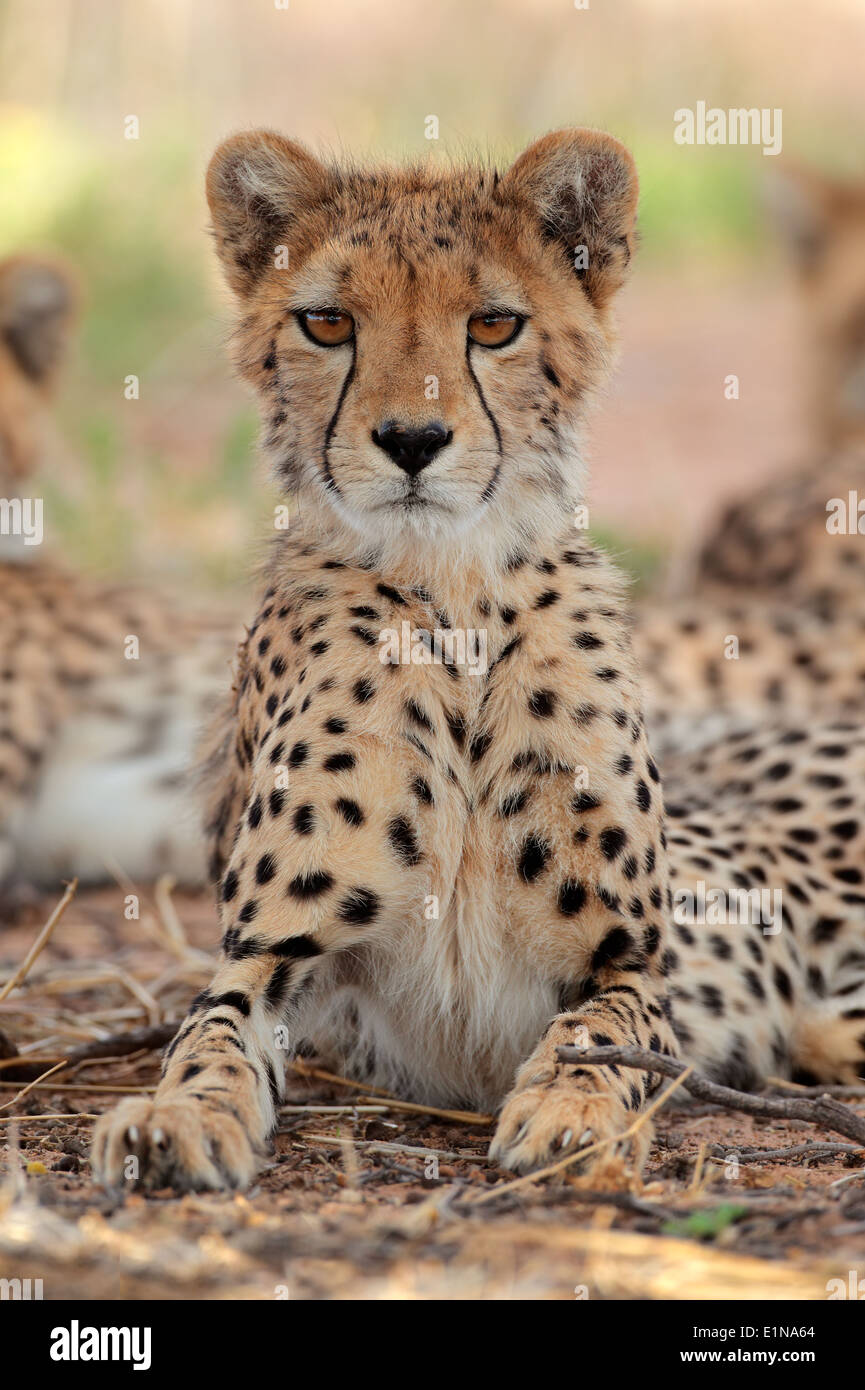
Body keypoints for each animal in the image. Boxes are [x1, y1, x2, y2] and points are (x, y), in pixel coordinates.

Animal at [91, 132, 865, 1195]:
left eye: (493, 325)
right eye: (327, 322)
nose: (412, 441)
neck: (449, 589)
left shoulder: (630, 963)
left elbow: (596, 1032)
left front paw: (572, 1115)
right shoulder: (269, 954)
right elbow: (207, 1040)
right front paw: (174, 1119)